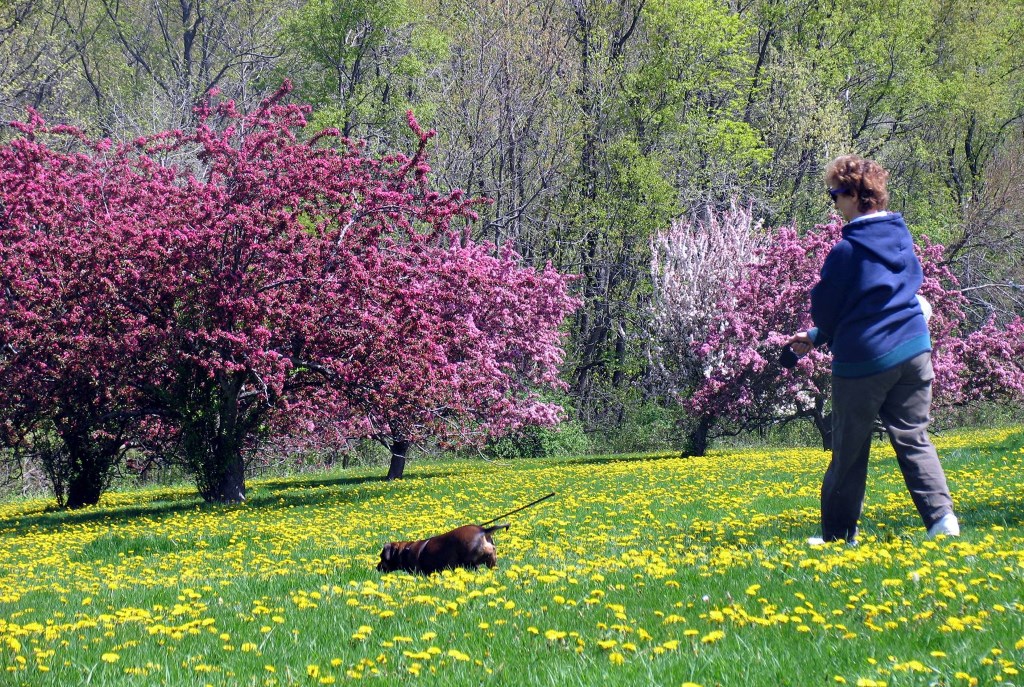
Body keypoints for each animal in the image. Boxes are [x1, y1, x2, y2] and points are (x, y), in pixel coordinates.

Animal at [374, 528, 509, 573]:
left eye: (381, 557)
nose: (377, 567)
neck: (404, 552)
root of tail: (483, 530)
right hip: (491, 560)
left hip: (469, 563)